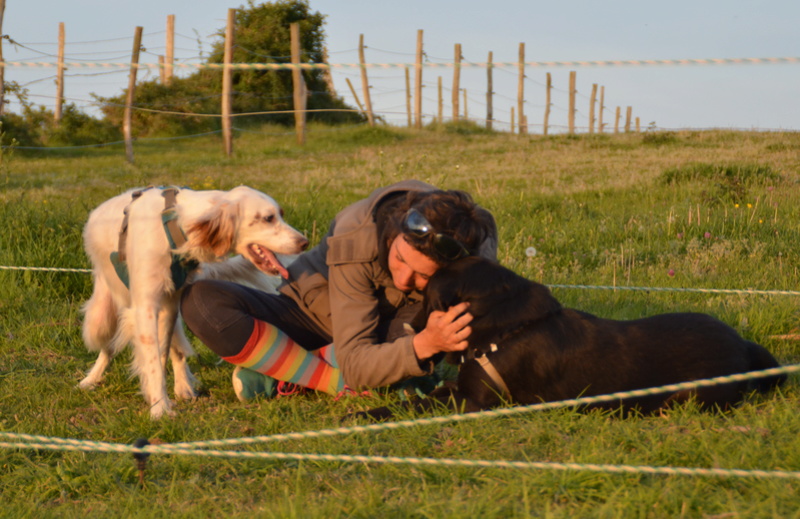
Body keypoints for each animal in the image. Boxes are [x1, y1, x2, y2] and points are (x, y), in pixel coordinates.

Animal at [80, 186, 306, 418]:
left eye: (281, 214)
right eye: (269, 218)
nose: (304, 243)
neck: (176, 227)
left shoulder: (170, 304)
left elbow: (162, 356)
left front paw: (161, 400)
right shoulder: (145, 307)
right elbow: (153, 362)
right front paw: (159, 407)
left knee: (176, 351)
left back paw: (184, 388)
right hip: (101, 317)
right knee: (107, 347)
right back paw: (91, 379)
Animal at [364, 258, 788, 420]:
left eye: (427, 299)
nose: (408, 330)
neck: (504, 327)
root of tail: (745, 345)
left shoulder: (475, 401)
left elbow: (416, 405)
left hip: (692, 395)